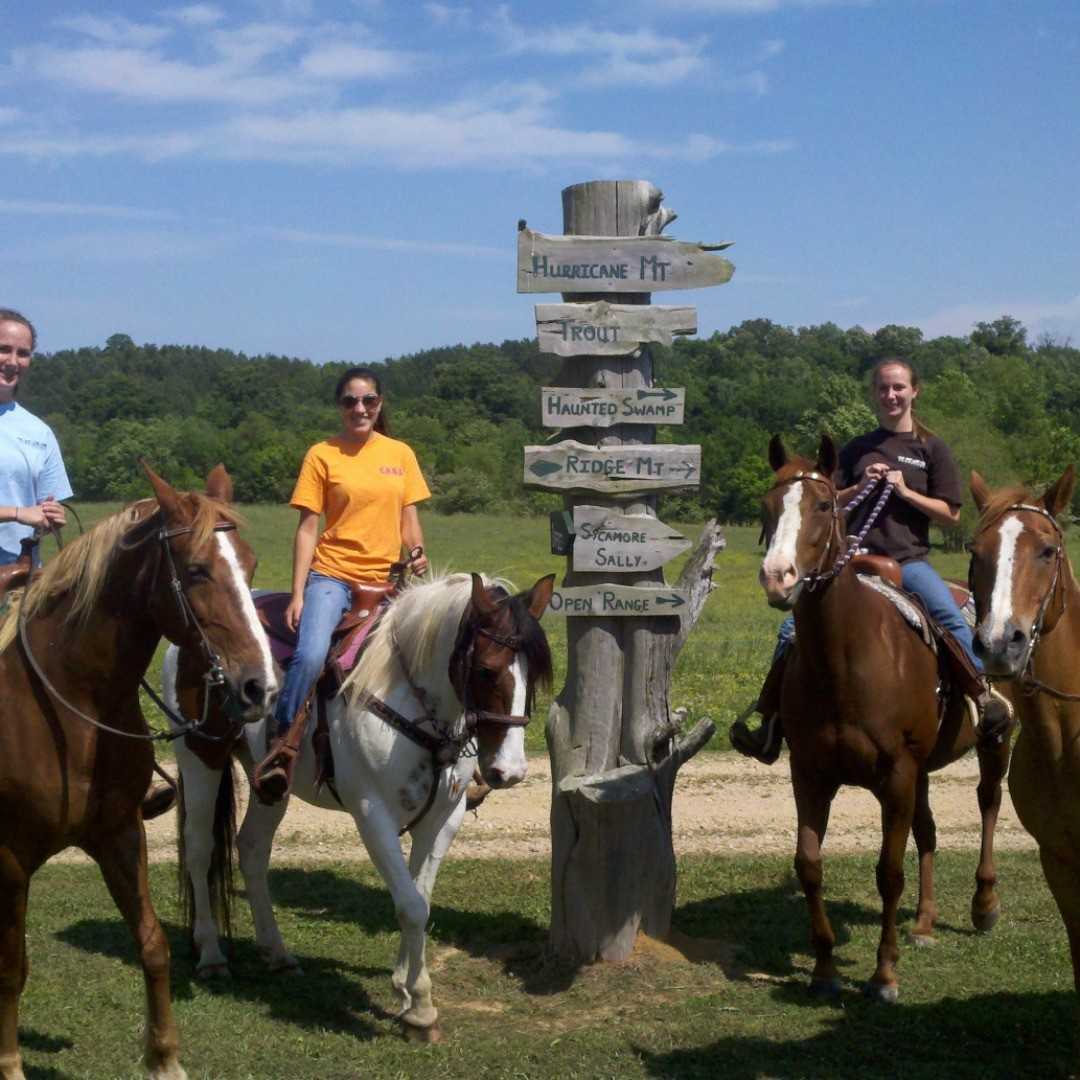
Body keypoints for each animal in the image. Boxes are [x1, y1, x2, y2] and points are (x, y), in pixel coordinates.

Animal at [0, 465, 277, 1080]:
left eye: (249, 564)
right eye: (196, 569)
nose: (259, 688)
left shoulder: (120, 834)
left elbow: (152, 942)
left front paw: (164, 1057)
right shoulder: (9, 859)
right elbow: (11, 966)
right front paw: (8, 1064)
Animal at [167, 570, 554, 1042]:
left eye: (535, 673)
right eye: (485, 670)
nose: (509, 771)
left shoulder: (444, 818)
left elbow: (420, 899)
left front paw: (404, 987)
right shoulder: (372, 815)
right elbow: (409, 905)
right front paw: (421, 1010)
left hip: (269, 786)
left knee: (252, 849)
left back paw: (277, 953)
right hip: (199, 755)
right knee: (199, 849)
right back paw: (210, 954)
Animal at [758, 435, 1012, 1002]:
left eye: (824, 506)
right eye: (768, 506)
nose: (778, 577)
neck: (845, 660)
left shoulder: (895, 774)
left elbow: (889, 872)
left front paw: (883, 975)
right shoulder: (809, 772)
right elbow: (809, 865)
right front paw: (824, 968)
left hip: (993, 742)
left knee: (988, 803)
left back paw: (984, 906)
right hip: (921, 772)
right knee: (929, 831)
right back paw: (923, 923)